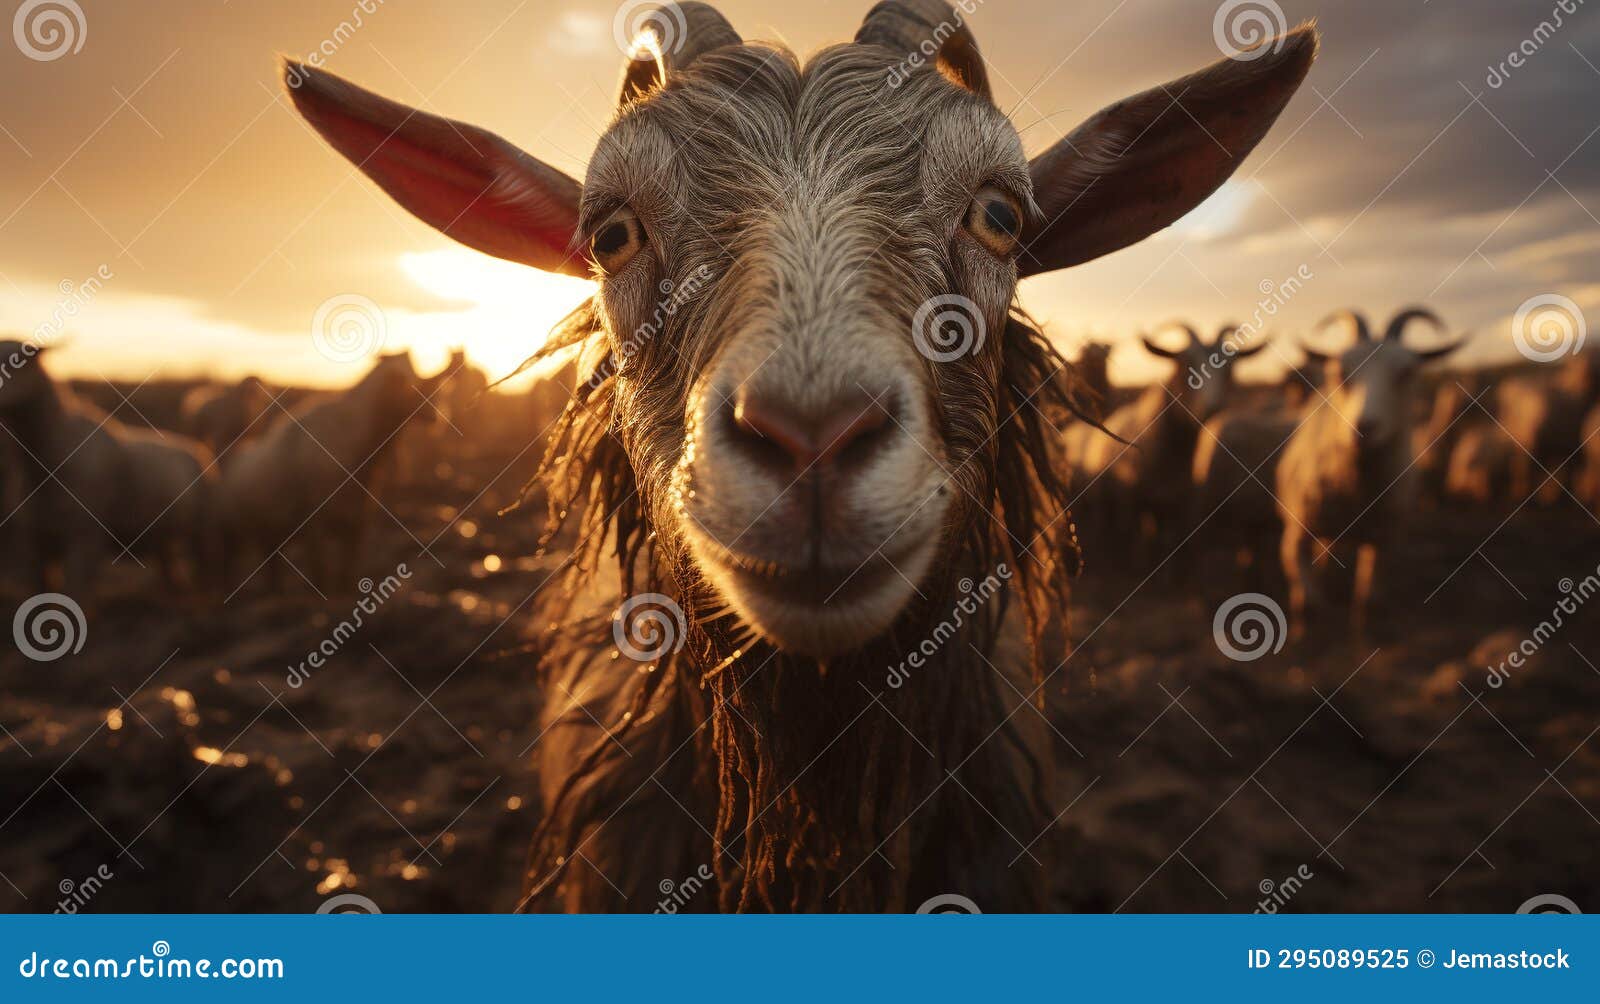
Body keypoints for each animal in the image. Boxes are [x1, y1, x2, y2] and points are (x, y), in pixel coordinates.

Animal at [0, 340, 217, 602]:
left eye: (18, 360)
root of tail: (199, 452)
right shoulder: (35, 543)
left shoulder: (85, 540)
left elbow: (74, 595)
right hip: (163, 537)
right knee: (171, 574)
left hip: (202, 528)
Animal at [219, 352, 434, 592]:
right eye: (402, 380)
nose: (433, 413)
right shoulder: (315, 526)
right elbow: (320, 575)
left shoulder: (358, 524)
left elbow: (346, 575)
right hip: (232, 529)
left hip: (271, 532)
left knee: (272, 566)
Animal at [1275, 309, 1463, 639]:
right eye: (1339, 371)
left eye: (1407, 372)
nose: (1365, 427)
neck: (1357, 491)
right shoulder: (1295, 536)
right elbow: (1308, 604)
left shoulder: (1384, 540)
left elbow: (1370, 602)